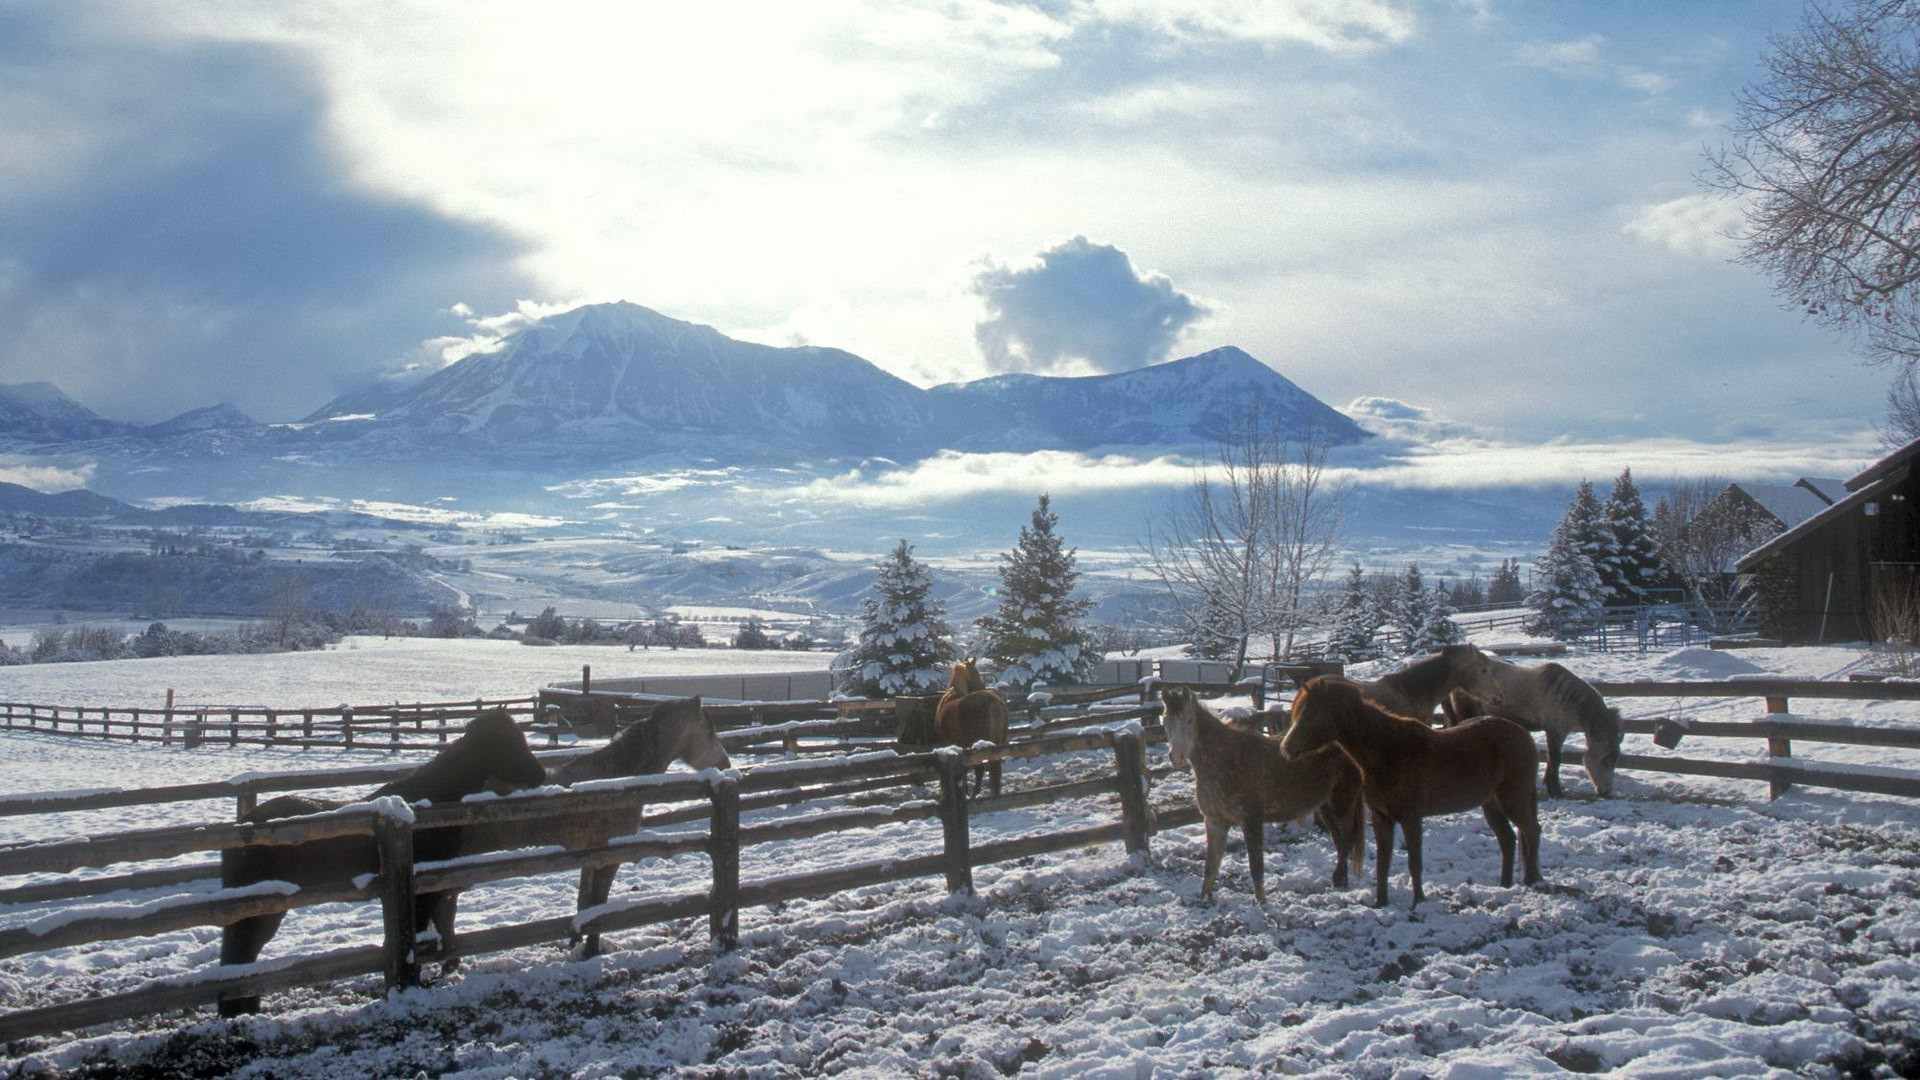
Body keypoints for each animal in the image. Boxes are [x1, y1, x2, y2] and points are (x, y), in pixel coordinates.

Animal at [218, 710, 547, 1016]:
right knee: (243, 953)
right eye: (507, 742)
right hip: (263, 909)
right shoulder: (422, 893)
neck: (424, 810)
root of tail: (244, 826)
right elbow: (418, 938)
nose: (541, 774)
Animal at [934, 659, 1009, 797]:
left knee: (980, 769)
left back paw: (974, 795)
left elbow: (964, 768)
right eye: (976, 674)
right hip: (999, 742)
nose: (983, 686)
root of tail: (992, 700)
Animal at [1159, 685, 1366, 903]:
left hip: (1342, 801)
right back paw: (1341, 880)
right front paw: (1205, 899)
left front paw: (1261, 901)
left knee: (1346, 837)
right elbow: (1210, 866)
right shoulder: (1215, 821)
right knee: (1338, 838)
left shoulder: (1251, 820)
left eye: (1189, 719)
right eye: (1165, 721)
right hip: (1326, 805)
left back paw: (1339, 879)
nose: (1177, 757)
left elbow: (1256, 866)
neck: (1225, 760)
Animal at [1281, 676, 1541, 909]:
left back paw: (1532, 881)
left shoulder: (1411, 818)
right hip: (1492, 805)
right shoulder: (1382, 819)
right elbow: (1383, 863)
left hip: (1513, 800)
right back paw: (1505, 885)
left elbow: (1414, 862)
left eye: (1312, 714)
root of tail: (1524, 735)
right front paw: (1381, 903)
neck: (1389, 751)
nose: (1286, 749)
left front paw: (1418, 902)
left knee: (1531, 831)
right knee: (1508, 839)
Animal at [1448, 659, 1623, 797]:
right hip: (1467, 712)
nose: (1607, 792)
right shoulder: (1554, 730)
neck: (1571, 702)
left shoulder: (1560, 731)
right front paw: (1556, 791)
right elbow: (1555, 759)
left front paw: (1549, 785)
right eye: (1606, 762)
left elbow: (1550, 758)